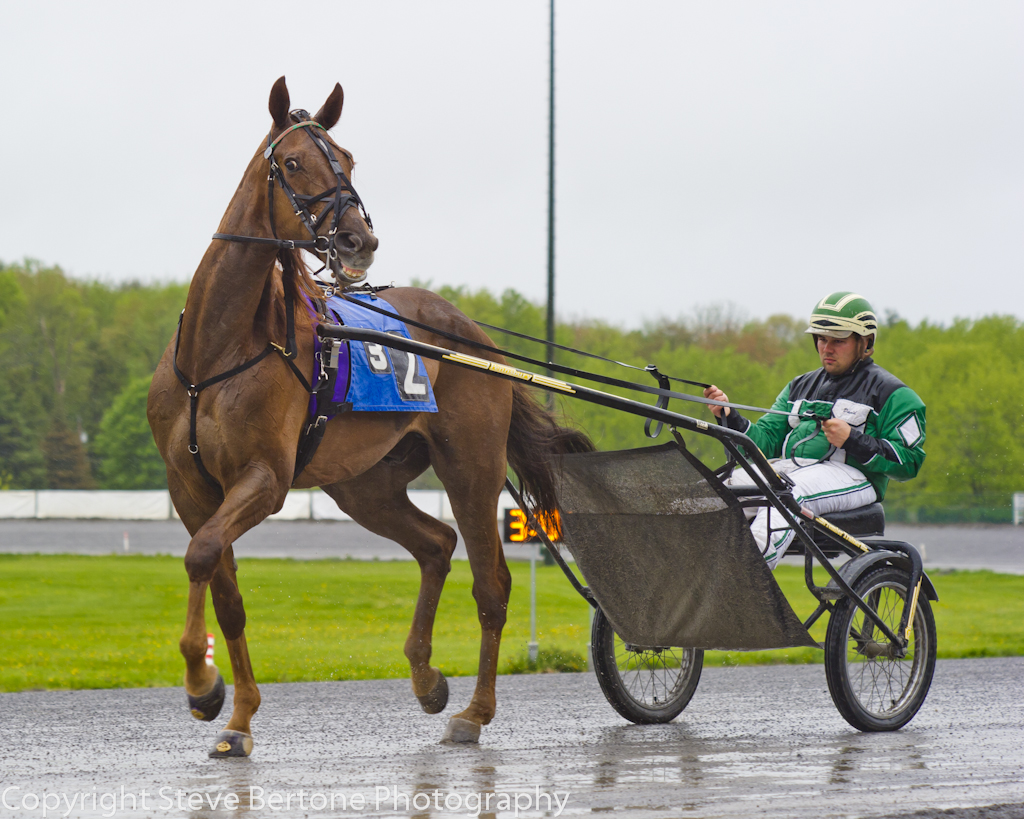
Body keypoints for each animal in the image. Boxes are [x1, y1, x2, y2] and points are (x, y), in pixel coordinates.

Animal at [146, 76, 593, 753]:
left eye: (349, 160)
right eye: (292, 162)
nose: (360, 240)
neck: (218, 350)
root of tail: (471, 334)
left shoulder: (265, 478)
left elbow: (201, 554)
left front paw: (202, 686)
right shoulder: (190, 486)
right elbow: (222, 587)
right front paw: (237, 715)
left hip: (470, 463)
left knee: (491, 583)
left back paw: (474, 711)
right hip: (364, 482)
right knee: (436, 543)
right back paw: (426, 678)